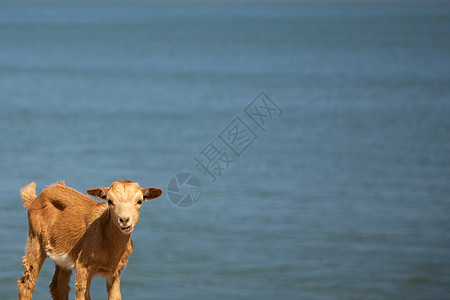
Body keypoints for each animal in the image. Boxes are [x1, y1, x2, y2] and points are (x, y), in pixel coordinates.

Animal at [19, 180, 163, 300]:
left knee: (58, 287)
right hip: (35, 239)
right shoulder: (83, 265)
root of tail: (35, 198)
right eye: (110, 201)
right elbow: (82, 295)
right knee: (26, 283)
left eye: (140, 201)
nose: (124, 220)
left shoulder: (116, 271)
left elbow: (116, 296)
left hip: (62, 256)